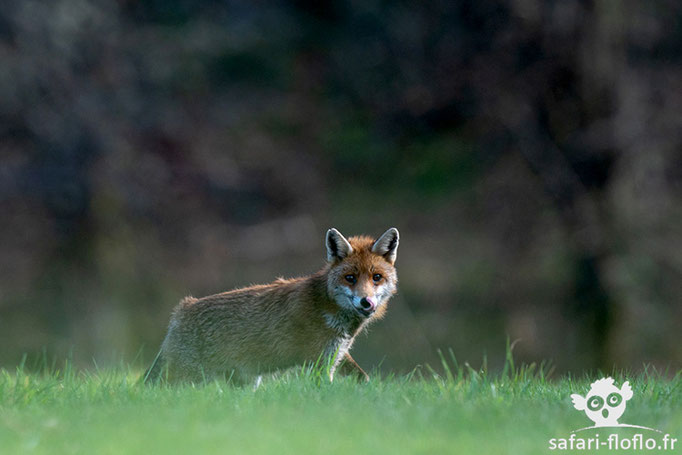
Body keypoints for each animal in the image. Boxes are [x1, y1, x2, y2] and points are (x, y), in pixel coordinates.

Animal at [144, 227, 399, 384]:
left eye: (376, 277)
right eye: (350, 278)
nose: (366, 301)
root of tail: (181, 311)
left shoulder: (336, 354)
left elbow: (363, 379)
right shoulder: (318, 363)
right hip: (186, 378)